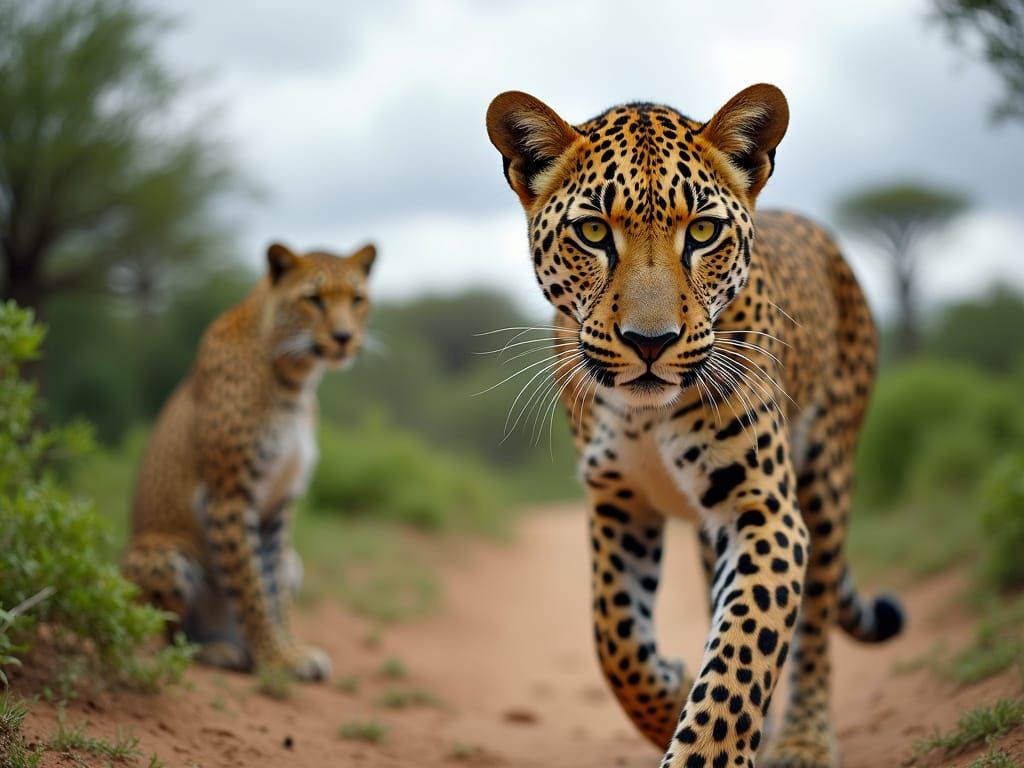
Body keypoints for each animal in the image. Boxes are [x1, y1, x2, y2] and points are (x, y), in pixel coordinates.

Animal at [123, 241, 376, 681]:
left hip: (296, 561)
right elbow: (249, 583)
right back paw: (219, 650)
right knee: (168, 637)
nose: (344, 338)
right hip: (162, 554)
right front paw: (276, 658)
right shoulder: (228, 495)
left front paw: (291, 651)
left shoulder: (282, 501)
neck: (296, 379)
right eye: (314, 299)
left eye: (357, 299)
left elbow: (272, 585)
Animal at [486, 84, 904, 767]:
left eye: (703, 232)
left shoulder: (763, 509)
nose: (649, 342)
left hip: (826, 474)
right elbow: (614, 639)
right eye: (594, 231)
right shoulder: (617, 499)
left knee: (815, 618)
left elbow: (742, 655)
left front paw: (705, 743)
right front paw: (670, 695)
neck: (644, 416)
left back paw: (804, 738)